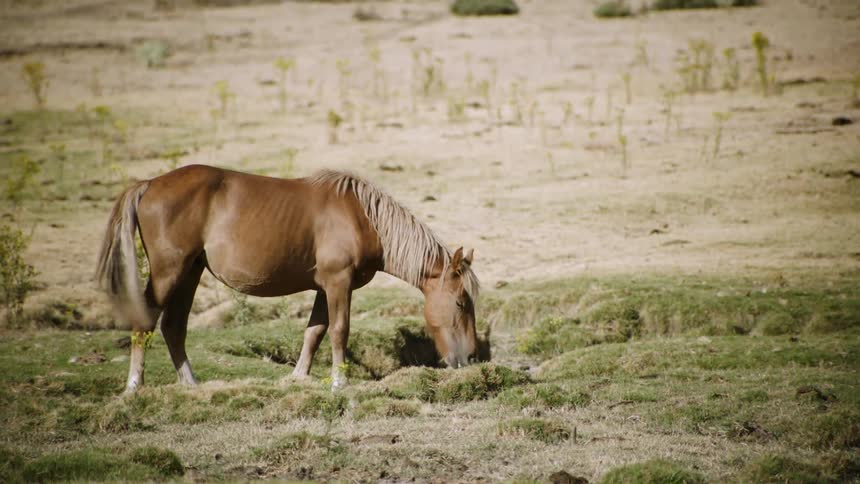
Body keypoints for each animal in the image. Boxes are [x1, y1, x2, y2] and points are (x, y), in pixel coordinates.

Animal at [95, 164, 481, 393]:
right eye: (461, 303)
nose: (470, 357)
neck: (362, 218)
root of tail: (148, 185)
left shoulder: (325, 287)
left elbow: (315, 332)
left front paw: (298, 377)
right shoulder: (338, 284)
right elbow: (339, 331)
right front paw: (339, 382)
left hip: (190, 272)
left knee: (173, 326)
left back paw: (191, 384)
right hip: (169, 272)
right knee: (146, 323)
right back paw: (134, 386)